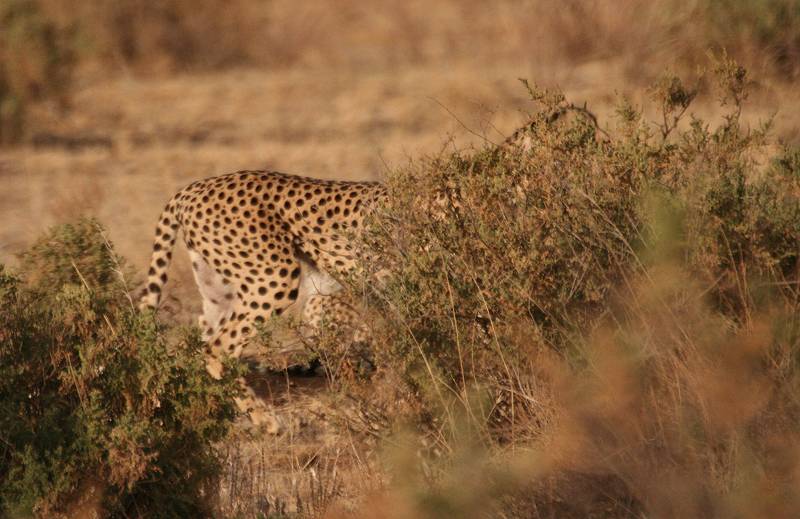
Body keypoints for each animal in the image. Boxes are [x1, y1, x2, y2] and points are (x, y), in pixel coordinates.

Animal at [139, 171, 386, 426]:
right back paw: (265, 420)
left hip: (222, 294)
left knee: (195, 344)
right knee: (218, 350)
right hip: (275, 278)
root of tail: (195, 187)